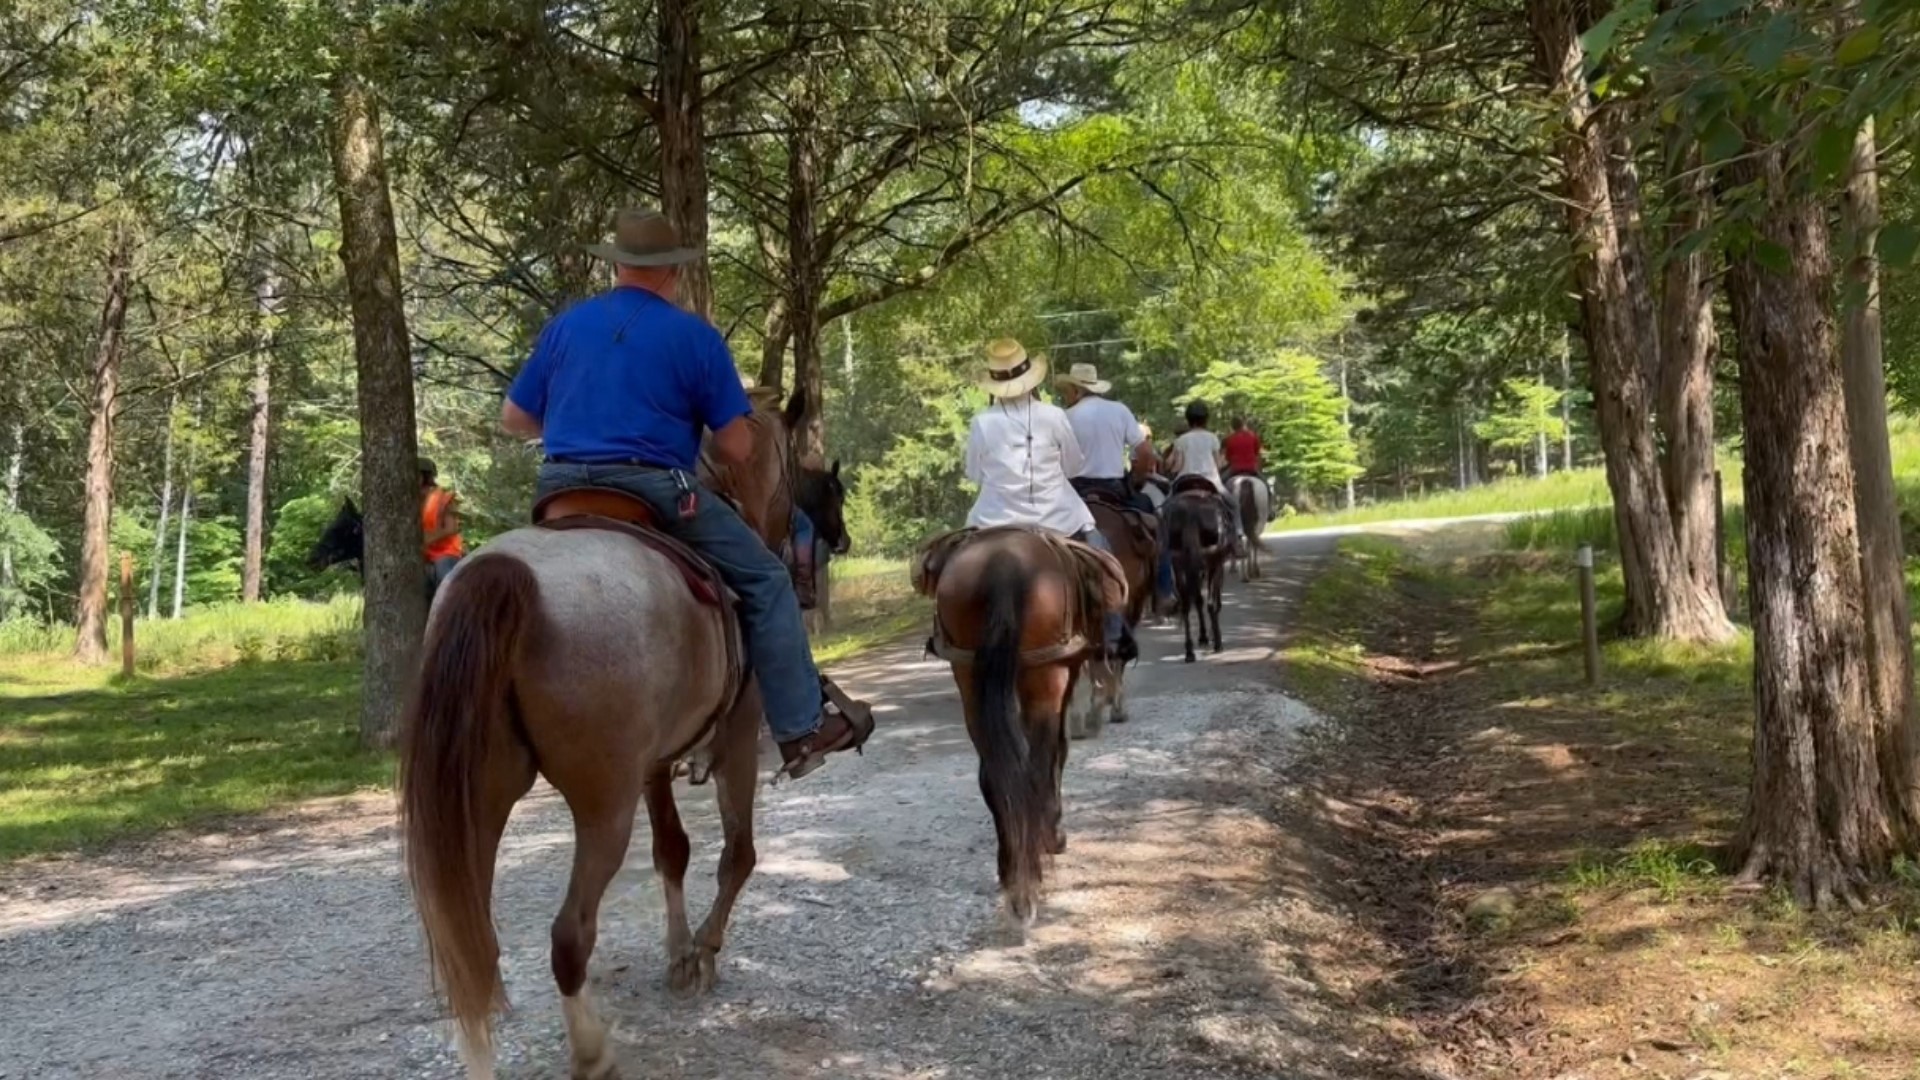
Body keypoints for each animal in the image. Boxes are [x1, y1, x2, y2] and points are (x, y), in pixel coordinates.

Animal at [405, 390, 810, 1076]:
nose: (800, 561)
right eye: (794, 469)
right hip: (603, 805)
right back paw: (592, 1050)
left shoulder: (654, 763)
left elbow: (673, 851)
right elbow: (738, 852)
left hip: (476, 800)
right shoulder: (736, 734)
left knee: (472, 946)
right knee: (569, 934)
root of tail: (507, 573)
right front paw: (704, 952)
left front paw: (678, 951)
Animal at [913, 526, 1121, 930]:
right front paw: (1054, 834)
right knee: (1038, 766)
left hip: (969, 677)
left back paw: (1013, 877)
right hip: (1045, 677)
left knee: (995, 774)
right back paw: (1033, 874)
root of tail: (1003, 563)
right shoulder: (1065, 675)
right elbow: (1058, 751)